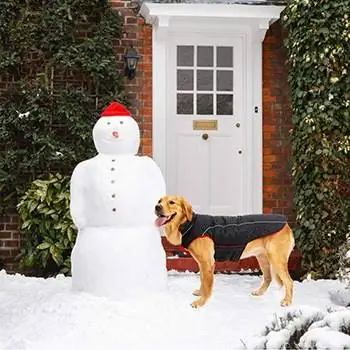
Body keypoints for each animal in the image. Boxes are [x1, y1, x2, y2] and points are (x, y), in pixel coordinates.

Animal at [154, 196, 294, 308]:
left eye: (172, 202)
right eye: (159, 201)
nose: (157, 207)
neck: (189, 223)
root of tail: (286, 223)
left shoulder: (207, 263)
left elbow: (207, 284)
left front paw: (201, 302)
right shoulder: (202, 264)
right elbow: (202, 280)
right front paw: (200, 293)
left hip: (276, 259)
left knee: (289, 281)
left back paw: (287, 301)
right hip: (262, 258)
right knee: (268, 278)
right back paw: (259, 292)